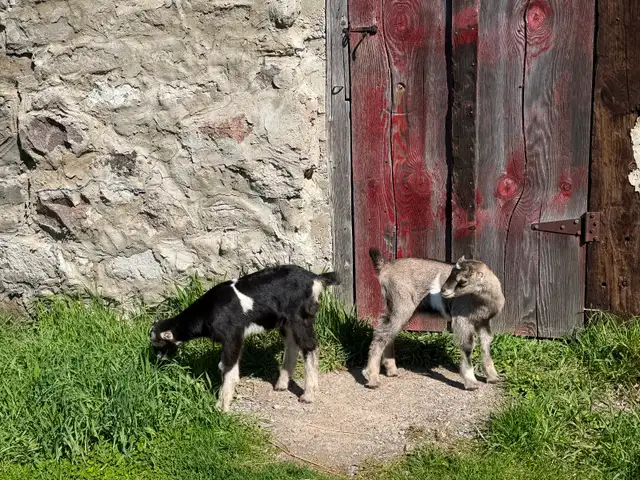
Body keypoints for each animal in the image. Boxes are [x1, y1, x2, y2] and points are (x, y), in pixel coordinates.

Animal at [149, 265, 340, 412]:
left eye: (159, 345)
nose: (157, 361)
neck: (205, 312)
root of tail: (315, 278)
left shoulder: (232, 336)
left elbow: (227, 367)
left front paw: (221, 406)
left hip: (301, 317)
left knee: (309, 347)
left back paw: (308, 394)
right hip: (286, 322)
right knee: (292, 345)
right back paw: (282, 384)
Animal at [363, 248, 505, 391]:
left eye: (463, 281)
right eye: (450, 275)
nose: (443, 290)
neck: (481, 300)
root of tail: (384, 269)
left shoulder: (483, 321)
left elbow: (486, 343)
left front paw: (493, 377)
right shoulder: (461, 318)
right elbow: (467, 346)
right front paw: (471, 383)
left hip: (398, 308)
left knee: (389, 334)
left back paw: (391, 371)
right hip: (400, 304)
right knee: (381, 335)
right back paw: (372, 378)